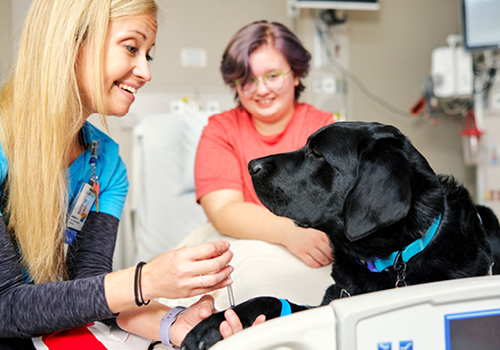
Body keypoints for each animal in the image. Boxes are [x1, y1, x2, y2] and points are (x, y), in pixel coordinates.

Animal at [183, 121, 500, 350]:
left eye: (317, 153)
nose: (251, 165)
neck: (395, 259)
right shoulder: (324, 302)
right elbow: (269, 299)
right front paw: (212, 324)